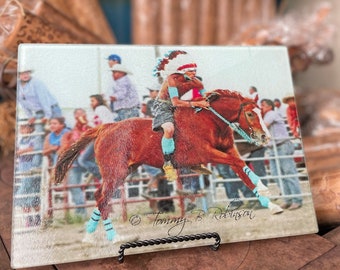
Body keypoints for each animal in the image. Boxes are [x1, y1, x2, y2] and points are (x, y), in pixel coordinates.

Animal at [54, 89, 282, 242]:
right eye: (250, 114)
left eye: (260, 112)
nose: (264, 137)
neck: (209, 121)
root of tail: (105, 127)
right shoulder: (208, 154)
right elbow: (239, 163)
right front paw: (265, 190)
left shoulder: (228, 151)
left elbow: (242, 170)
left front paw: (272, 204)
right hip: (115, 172)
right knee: (102, 198)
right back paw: (113, 237)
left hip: (123, 172)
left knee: (100, 196)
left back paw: (90, 235)